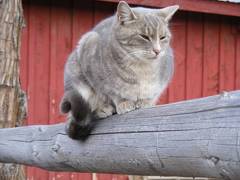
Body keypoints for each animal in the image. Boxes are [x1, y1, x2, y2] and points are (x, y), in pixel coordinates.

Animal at [61, 0, 179, 140]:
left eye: (162, 37)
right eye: (144, 36)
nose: (157, 50)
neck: (142, 67)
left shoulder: (161, 82)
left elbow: (152, 94)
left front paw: (145, 102)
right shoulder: (95, 69)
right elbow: (112, 92)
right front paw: (123, 103)